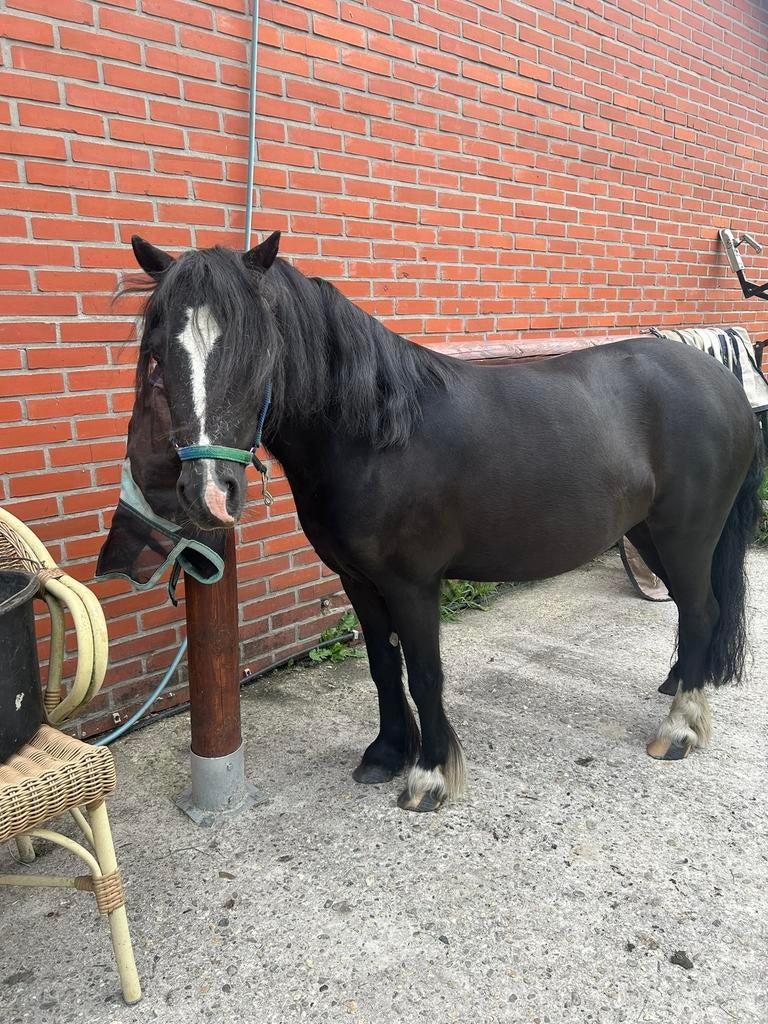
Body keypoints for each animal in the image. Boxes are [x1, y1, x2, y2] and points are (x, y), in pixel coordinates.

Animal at [127, 231, 764, 812]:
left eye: (258, 349)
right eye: (157, 353)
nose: (207, 491)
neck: (377, 436)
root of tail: (723, 383)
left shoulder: (412, 585)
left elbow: (424, 672)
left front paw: (430, 776)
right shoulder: (358, 581)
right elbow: (384, 666)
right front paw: (386, 754)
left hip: (686, 535)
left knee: (702, 609)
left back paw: (678, 728)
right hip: (648, 534)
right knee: (690, 608)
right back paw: (679, 686)